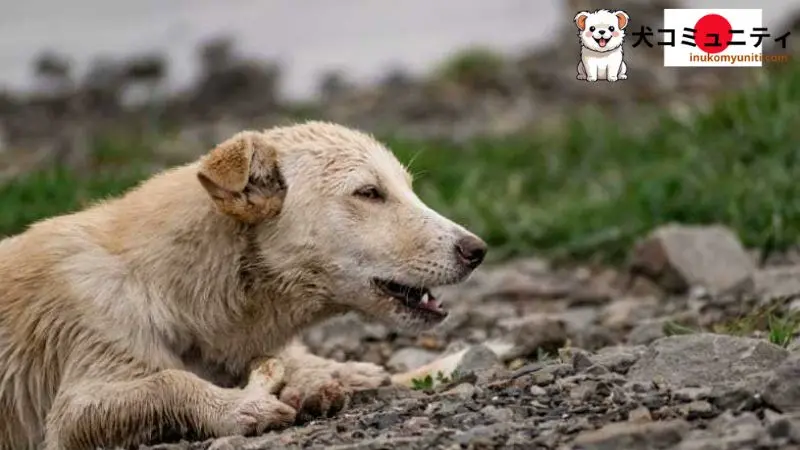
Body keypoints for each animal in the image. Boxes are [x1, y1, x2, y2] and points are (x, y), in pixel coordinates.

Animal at [0, 121, 488, 448]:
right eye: (369, 193)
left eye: (407, 188)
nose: (476, 250)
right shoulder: (86, 364)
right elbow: (167, 381)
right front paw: (238, 407)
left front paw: (317, 377)